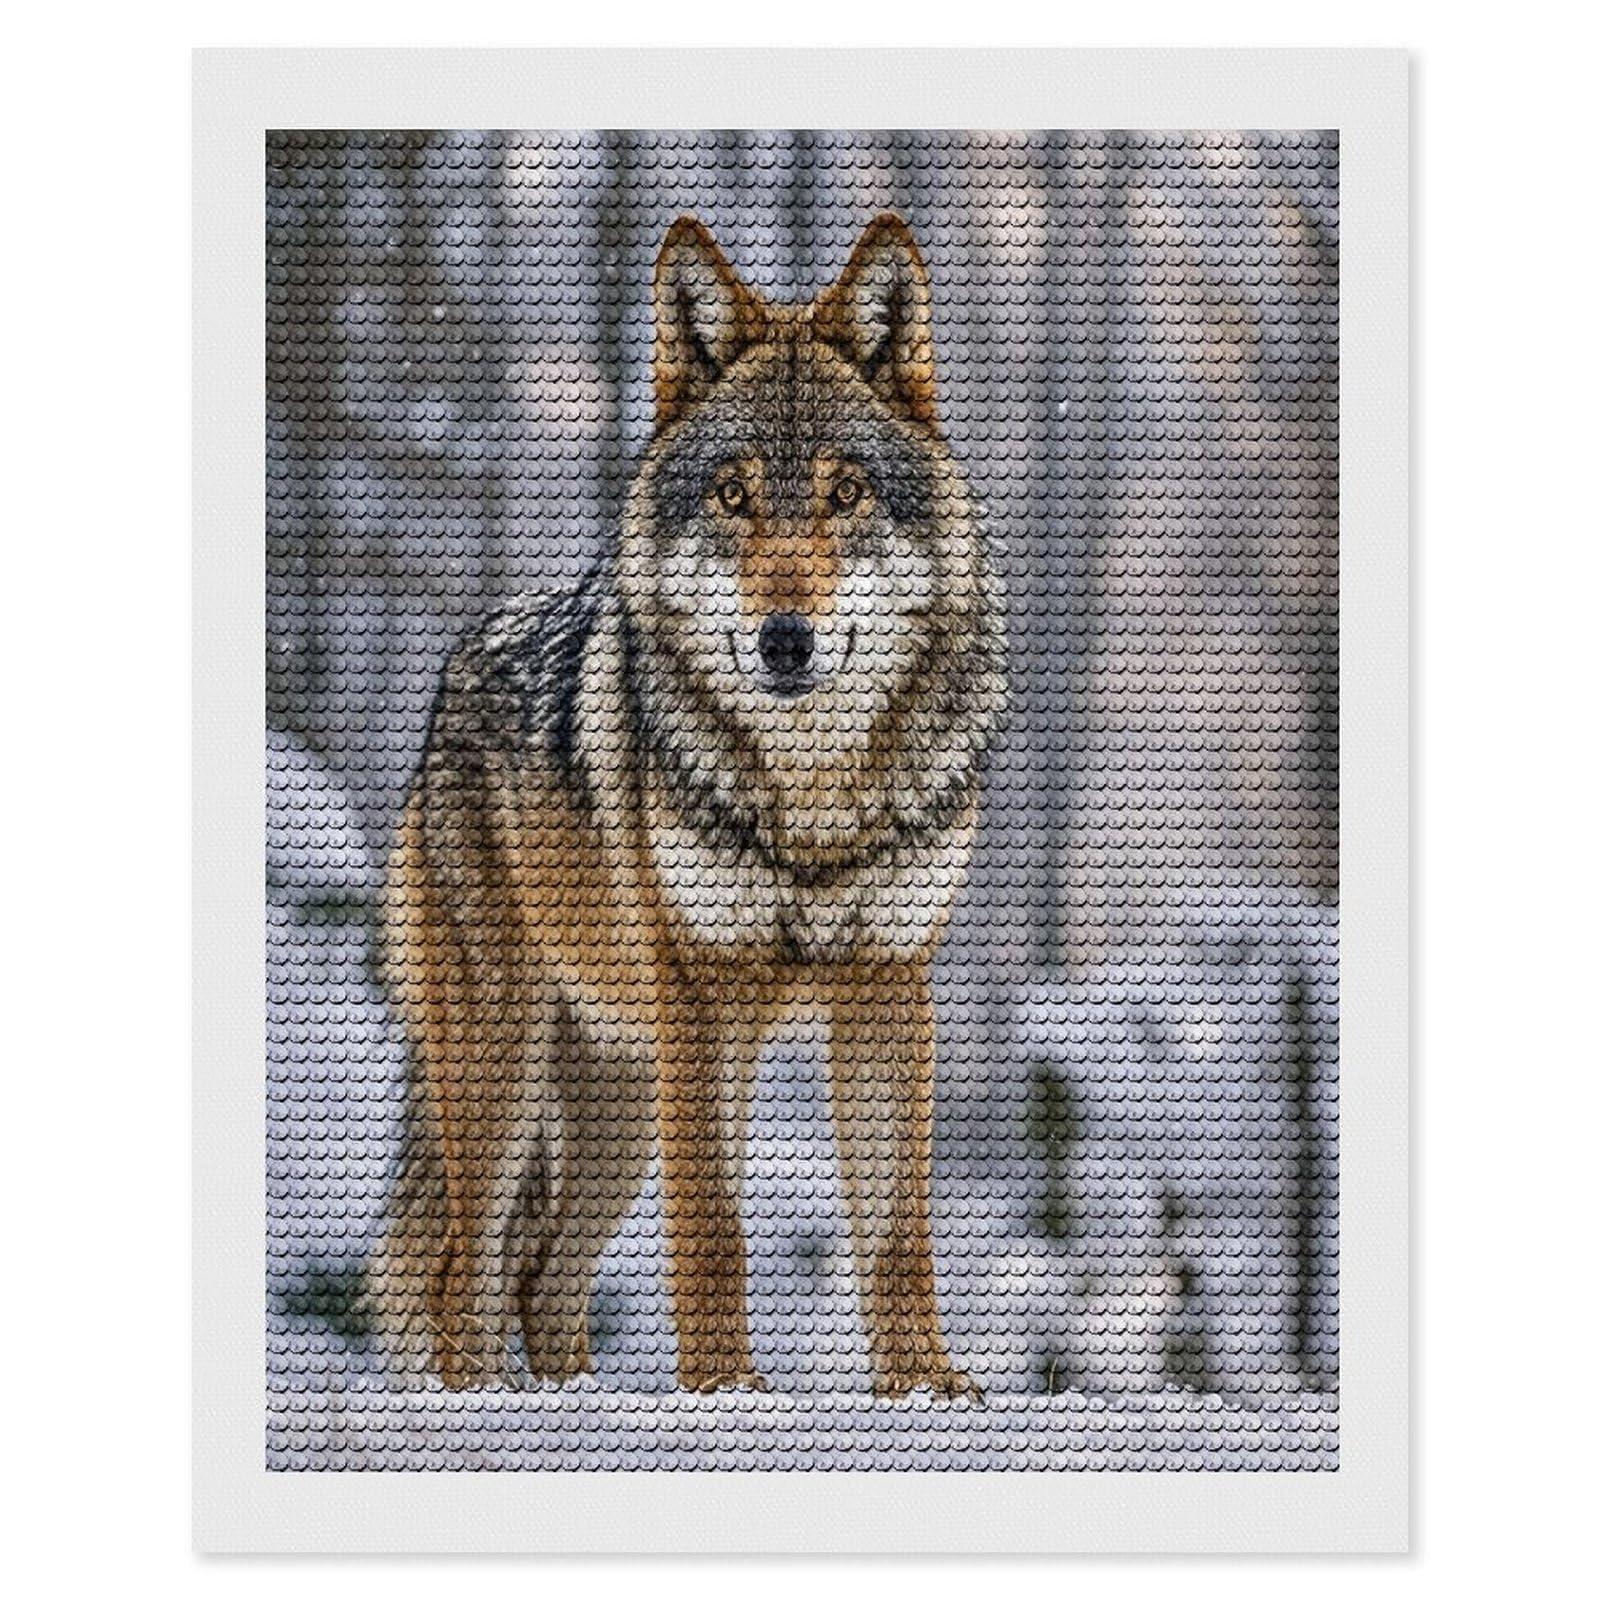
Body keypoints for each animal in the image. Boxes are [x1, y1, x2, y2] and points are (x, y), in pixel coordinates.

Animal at [370, 214, 1007, 1397]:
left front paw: (925, 1391)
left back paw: (566, 1400)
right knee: (462, 1274)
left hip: (617, 1098)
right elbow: (714, 1224)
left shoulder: (888, 983)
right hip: (512, 1067)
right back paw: (479, 1401)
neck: (812, 800)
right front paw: (723, 1396)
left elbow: (898, 1234)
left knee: (543, 1276)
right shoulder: (704, 994)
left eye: (846, 494)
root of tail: (450, 675)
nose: (785, 640)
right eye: (733, 495)